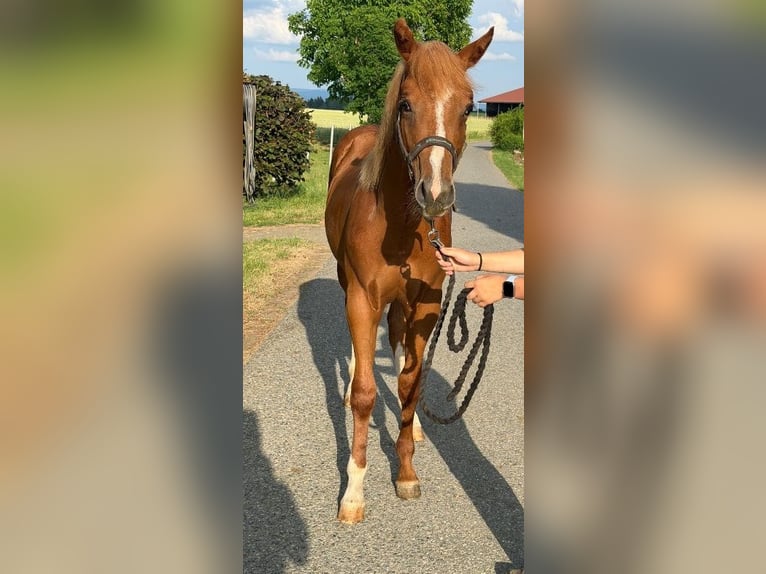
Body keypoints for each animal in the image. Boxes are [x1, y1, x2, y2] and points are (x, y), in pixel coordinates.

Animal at [325, 18, 494, 524]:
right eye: (405, 104)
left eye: (468, 107)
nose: (435, 195)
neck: (401, 226)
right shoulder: (362, 298)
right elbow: (366, 393)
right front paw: (354, 491)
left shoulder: (426, 304)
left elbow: (411, 384)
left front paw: (405, 472)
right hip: (348, 284)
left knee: (400, 352)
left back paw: (415, 424)